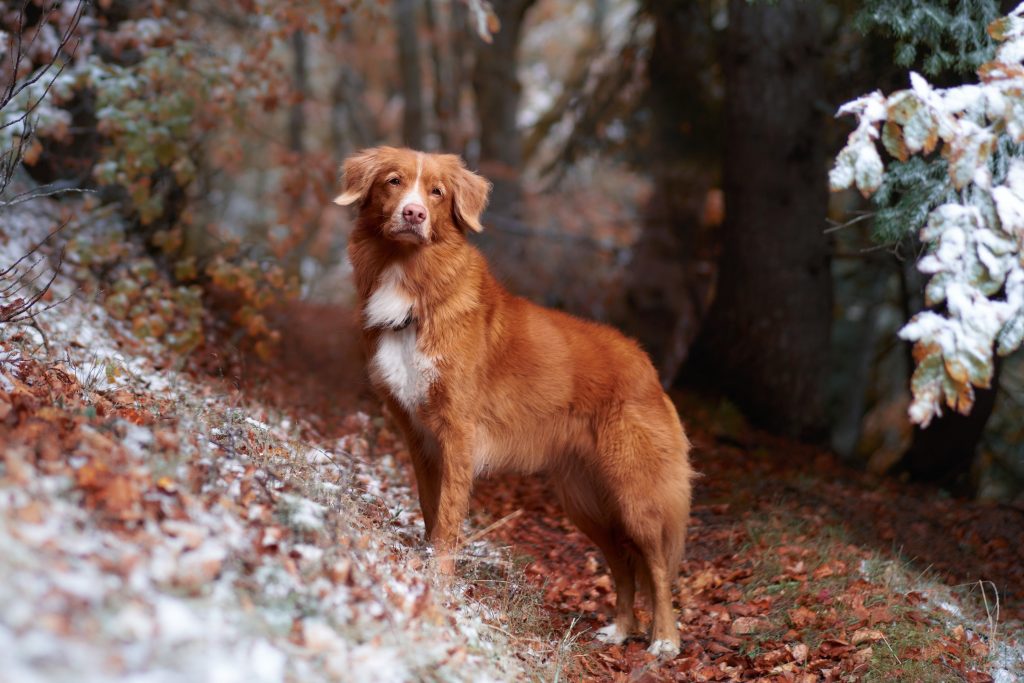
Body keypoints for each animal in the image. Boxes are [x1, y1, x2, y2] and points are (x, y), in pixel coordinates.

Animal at [339, 147, 692, 655]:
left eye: (436, 193)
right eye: (393, 181)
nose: (414, 214)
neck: (416, 287)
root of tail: (646, 365)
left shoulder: (459, 436)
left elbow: (448, 521)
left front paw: (439, 584)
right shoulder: (420, 439)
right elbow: (430, 512)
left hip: (635, 494)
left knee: (657, 567)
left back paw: (664, 639)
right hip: (586, 501)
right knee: (624, 565)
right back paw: (622, 629)